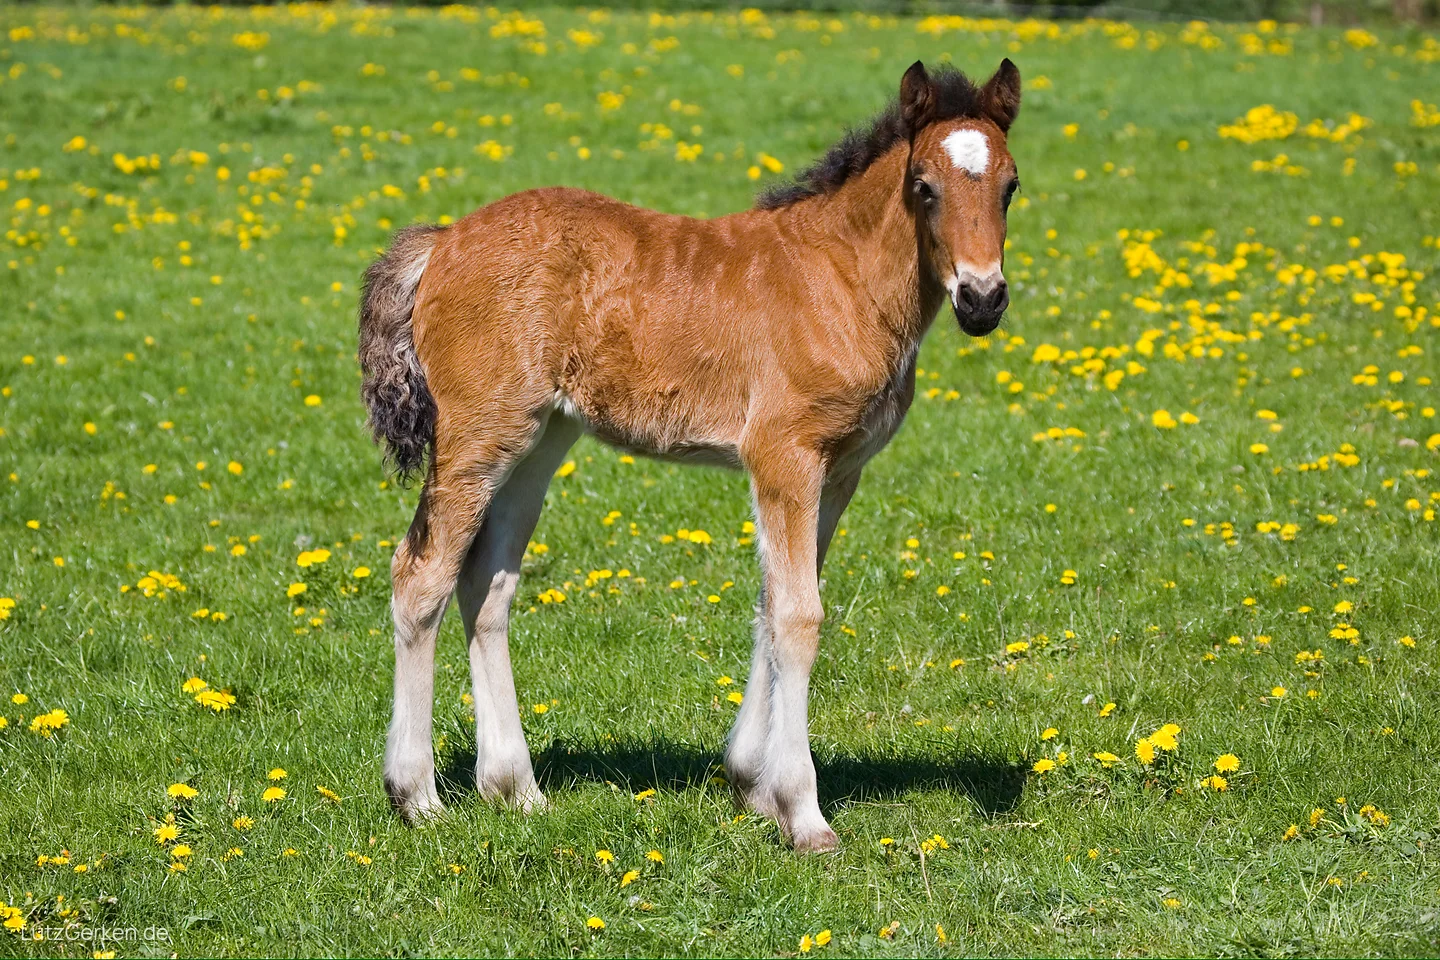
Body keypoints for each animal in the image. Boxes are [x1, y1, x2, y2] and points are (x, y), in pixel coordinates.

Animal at [359, 58, 1022, 852]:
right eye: (924, 185)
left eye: (1011, 185)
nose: (982, 299)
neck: (840, 278)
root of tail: (444, 239)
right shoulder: (785, 454)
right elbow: (800, 616)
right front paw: (803, 812)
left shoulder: (839, 471)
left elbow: (775, 604)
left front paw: (751, 784)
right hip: (479, 432)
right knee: (419, 575)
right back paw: (415, 795)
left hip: (540, 441)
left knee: (485, 583)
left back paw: (515, 788)